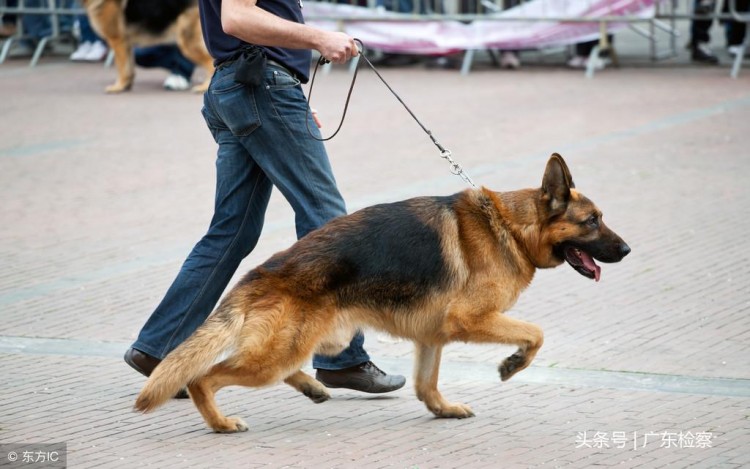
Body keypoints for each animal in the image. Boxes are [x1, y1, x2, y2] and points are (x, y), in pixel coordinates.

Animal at [82, 0, 214, 92]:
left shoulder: (117, 41)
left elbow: (121, 67)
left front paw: (118, 87)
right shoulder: (126, 45)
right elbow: (129, 67)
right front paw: (126, 85)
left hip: (187, 44)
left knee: (211, 62)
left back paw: (204, 87)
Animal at [134, 154, 628, 432]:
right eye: (592, 222)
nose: (626, 249)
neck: (510, 226)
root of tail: (261, 271)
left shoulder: (432, 338)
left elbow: (427, 385)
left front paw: (442, 409)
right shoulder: (472, 320)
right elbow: (537, 334)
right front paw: (512, 364)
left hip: (312, 342)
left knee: (283, 368)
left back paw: (312, 387)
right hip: (276, 355)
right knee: (203, 377)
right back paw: (221, 423)